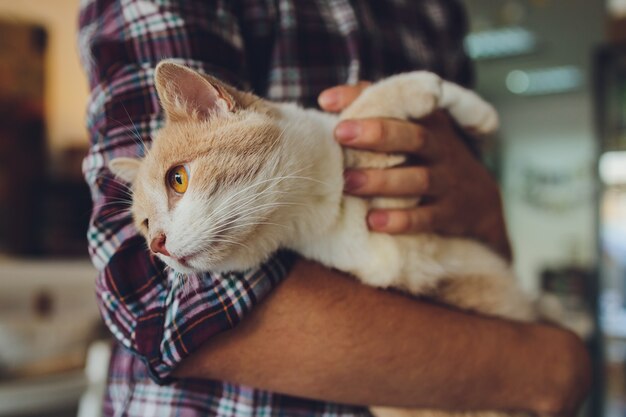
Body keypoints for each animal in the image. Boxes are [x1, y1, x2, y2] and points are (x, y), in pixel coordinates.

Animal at [109, 61, 532, 416]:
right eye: (144, 224)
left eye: (177, 179)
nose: (157, 245)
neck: (316, 193)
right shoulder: (384, 252)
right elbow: (361, 116)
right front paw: (423, 92)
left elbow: (355, 119)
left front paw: (475, 111)